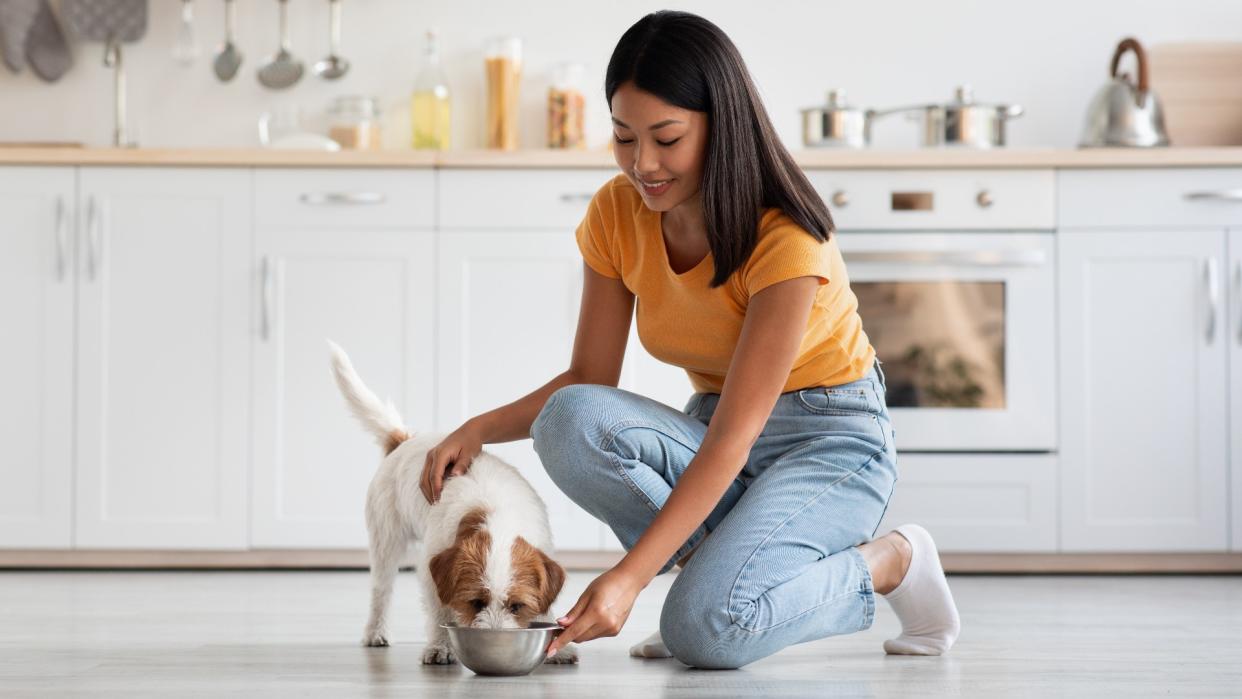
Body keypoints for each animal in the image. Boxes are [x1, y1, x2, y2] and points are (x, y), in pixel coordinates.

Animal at [325, 342, 576, 665]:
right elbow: (439, 612)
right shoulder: (432, 570)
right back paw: (375, 632)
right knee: (381, 590)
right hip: (386, 541)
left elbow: (546, 603)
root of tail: (404, 440)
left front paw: (559, 646)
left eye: (516, 606)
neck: (497, 516)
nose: (496, 640)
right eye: (476, 602)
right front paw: (441, 647)